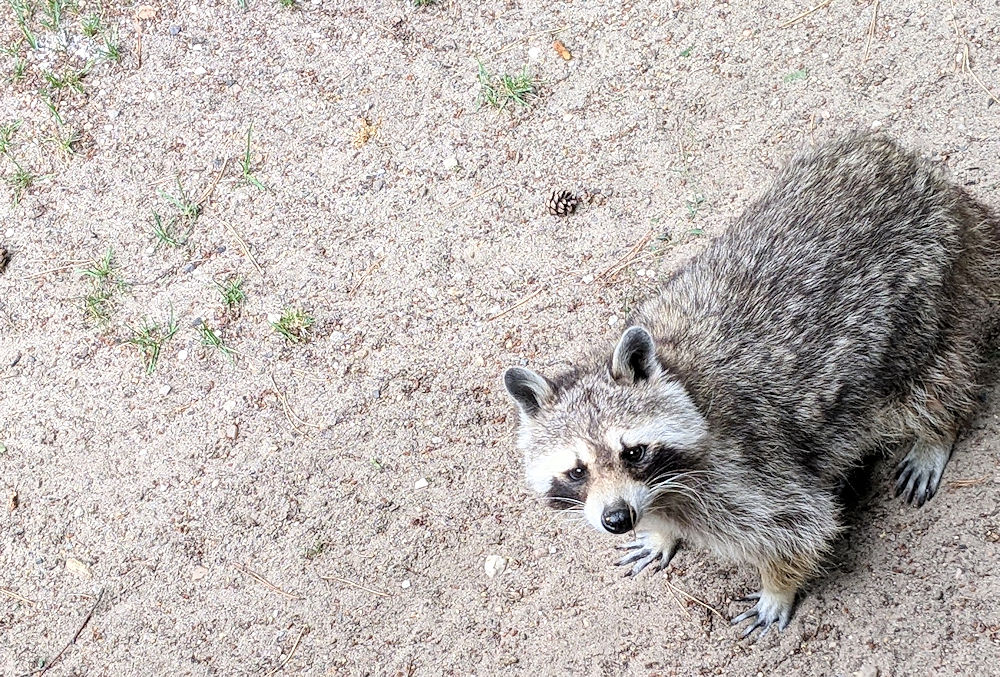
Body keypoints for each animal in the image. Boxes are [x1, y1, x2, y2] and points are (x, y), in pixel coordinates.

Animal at [504, 135, 1000, 636]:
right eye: (577, 471)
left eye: (634, 452)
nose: (618, 518)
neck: (680, 375)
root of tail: (922, 174)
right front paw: (661, 532)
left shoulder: (747, 472)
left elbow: (801, 527)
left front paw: (777, 588)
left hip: (924, 304)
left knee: (934, 378)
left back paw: (936, 432)